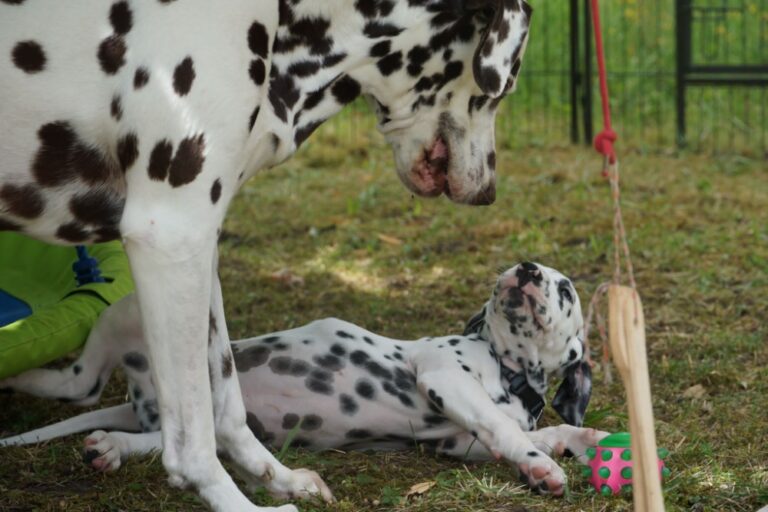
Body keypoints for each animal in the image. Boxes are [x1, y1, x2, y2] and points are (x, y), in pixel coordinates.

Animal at [1, 0, 536, 510]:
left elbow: (227, 402)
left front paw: (276, 478)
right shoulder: (171, 233)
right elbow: (192, 435)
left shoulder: (201, 242)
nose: (488, 192)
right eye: (504, 85)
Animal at [3, 262, 604, 498]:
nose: (526, 269)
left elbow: (535, 432)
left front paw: (580, 440)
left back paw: (112, 447)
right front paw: (542, 466)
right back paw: (20, 366)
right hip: (128, 311)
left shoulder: (458, 444)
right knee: (76, 382)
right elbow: (509, 432)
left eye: (565, 288)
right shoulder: (445, 380)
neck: (508, 370)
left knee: (173, 443)